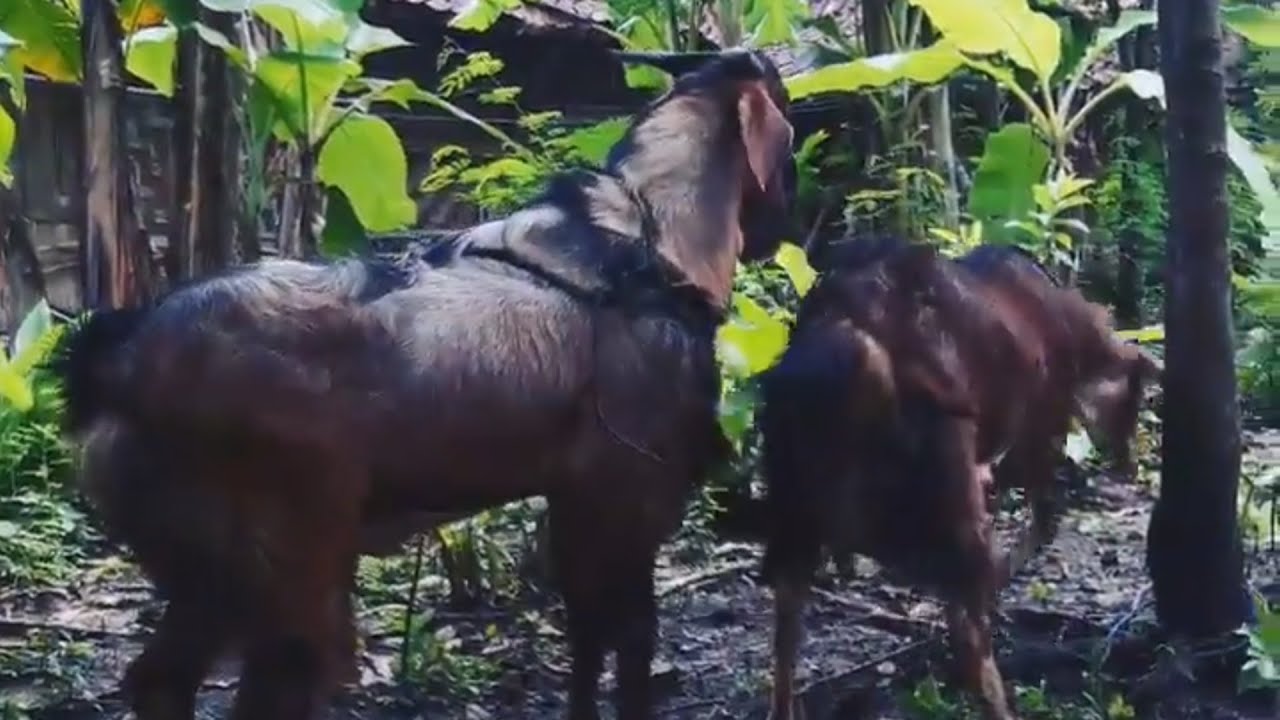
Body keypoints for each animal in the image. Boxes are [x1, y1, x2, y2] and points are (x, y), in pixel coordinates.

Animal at [51, 50, 796, 720]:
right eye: (788, 141)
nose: (784, 226)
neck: (650, 235)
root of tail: (116, 358)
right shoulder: (637, 492)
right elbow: (634, 642)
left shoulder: (577, 500)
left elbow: (587, 641)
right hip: (289, 564)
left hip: (209, 568)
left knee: (162, 680)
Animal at [760, 238, 1160, 720]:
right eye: (1136, 402)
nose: (1130, 464)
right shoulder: (1039, 422)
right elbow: (1042, 520)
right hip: (947, 487)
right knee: (972, 631)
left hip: (794, 503)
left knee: (786, 613)